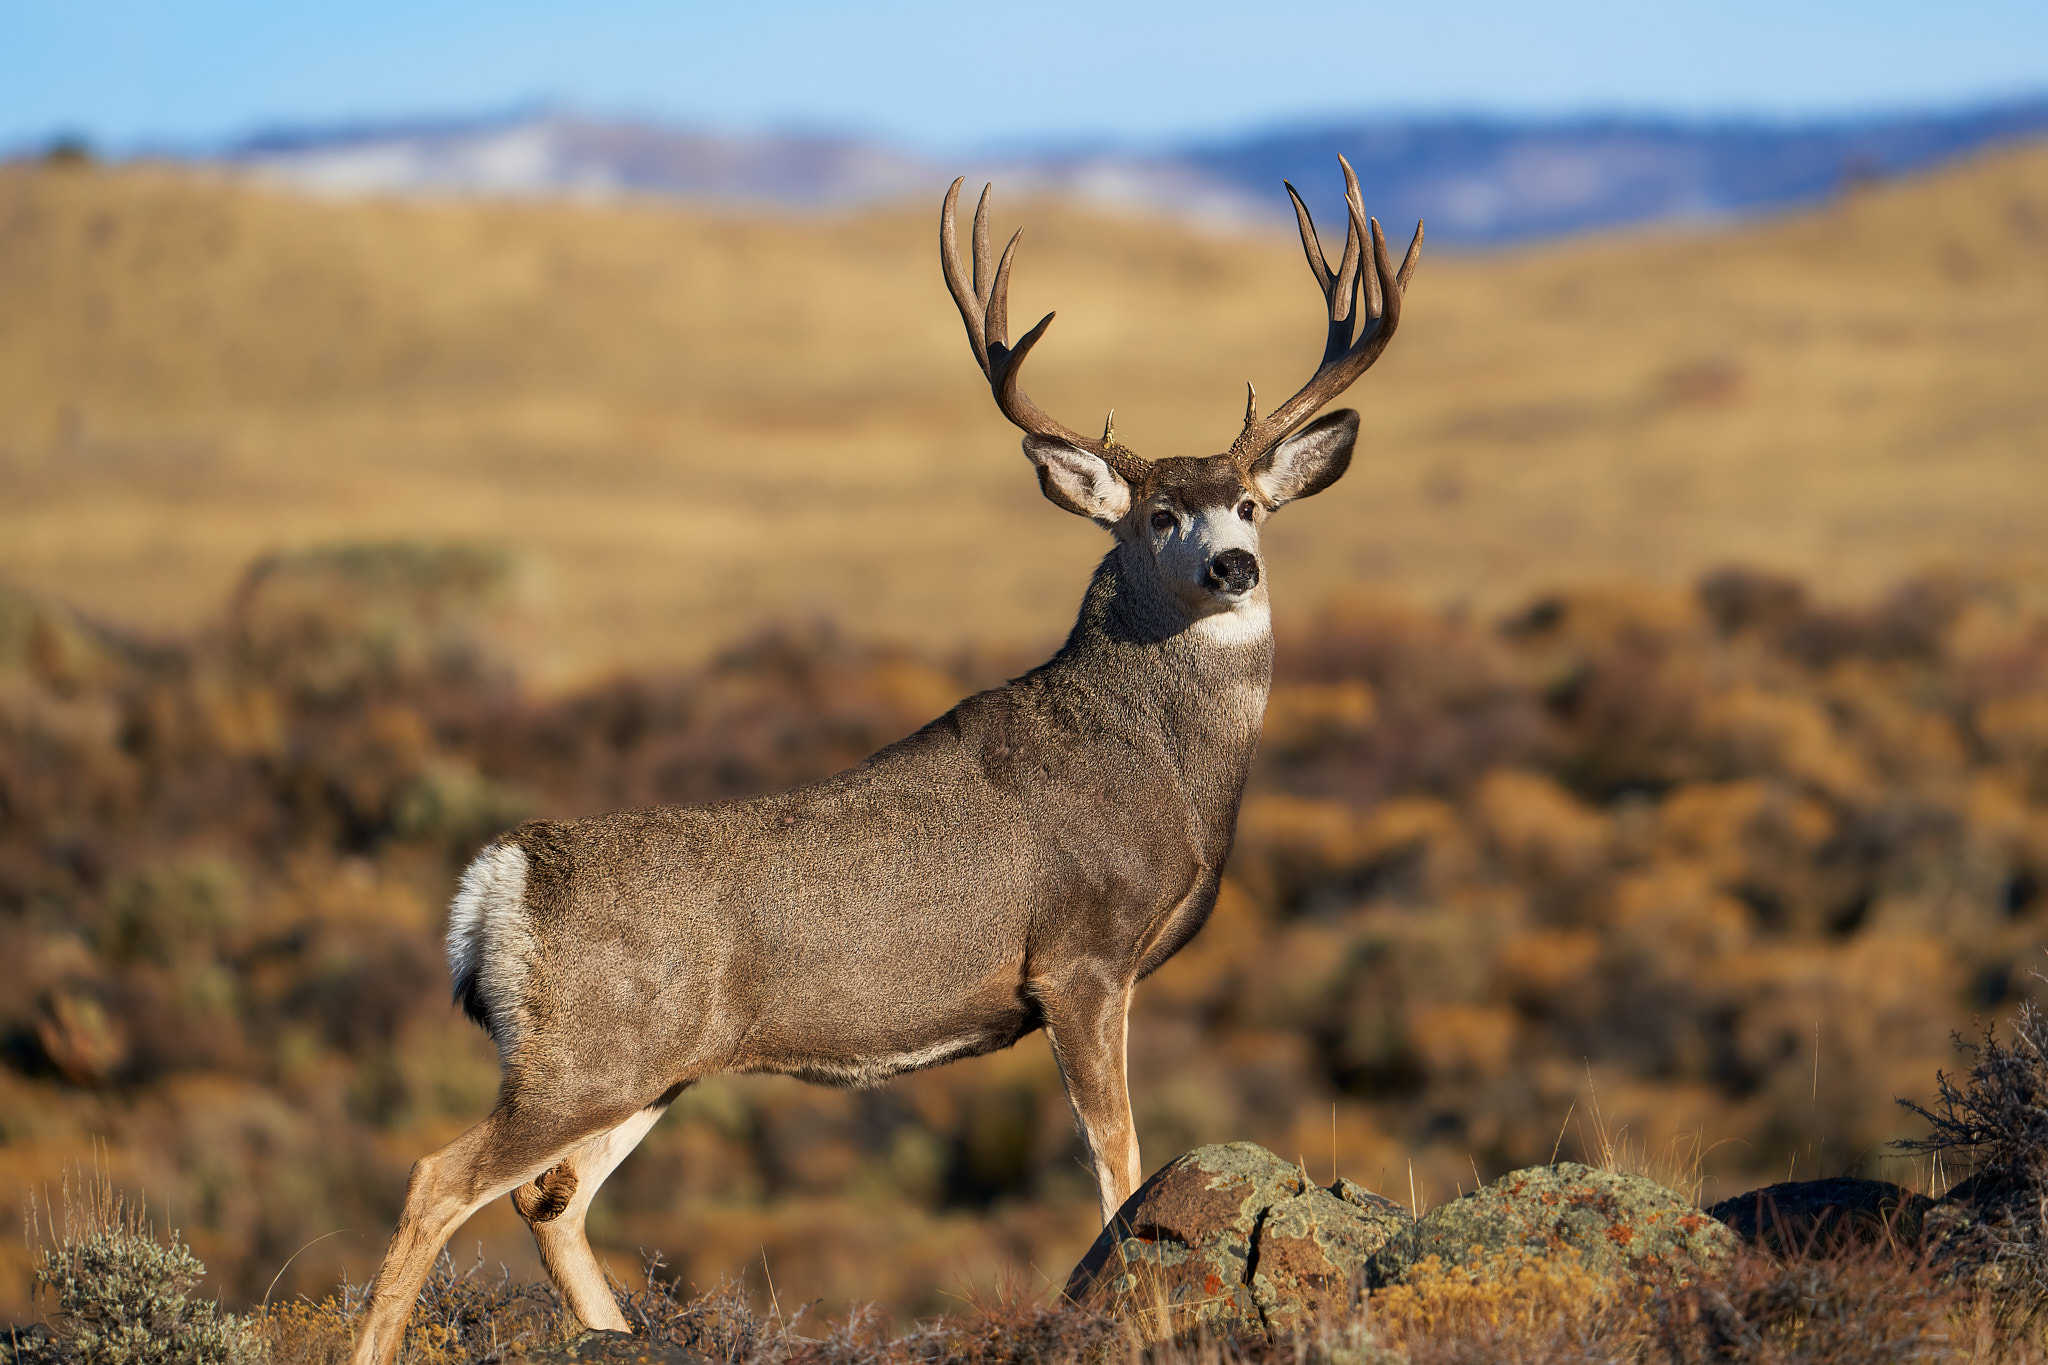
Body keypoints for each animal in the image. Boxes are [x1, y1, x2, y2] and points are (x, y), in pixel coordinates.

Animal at [347, 160, 1420, 1365]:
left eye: (1247, 503)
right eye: (1156, 515)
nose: (1234, 566)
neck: (1162, 775)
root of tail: (500, 877)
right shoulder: (1079, 958)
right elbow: (1120, 1168)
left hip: (648, 1065)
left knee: (551, 1198)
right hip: (583, 1053)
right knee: (438, 1177)